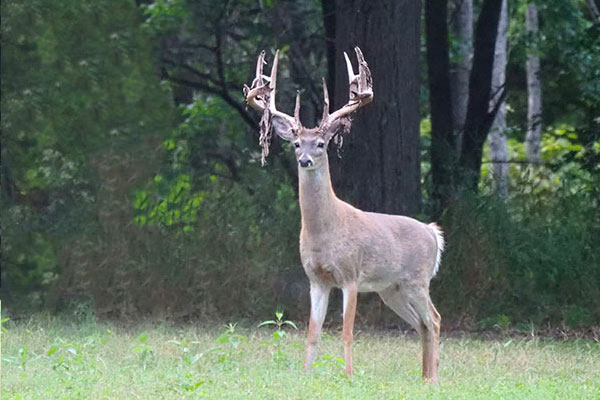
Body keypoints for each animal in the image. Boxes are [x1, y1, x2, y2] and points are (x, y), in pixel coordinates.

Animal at [244, 46, 446, 382]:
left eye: (321, 143)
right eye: (296, 143)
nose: (305, 160)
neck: (325, 230)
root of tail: (433, 232)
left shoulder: (350, 275)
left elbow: (347, 331)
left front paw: (349, 375)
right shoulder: (316, 279)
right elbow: (312, 332)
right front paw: (306, 373)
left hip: (418, 279)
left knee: (435, 318)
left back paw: (432, 378)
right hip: (391, 289)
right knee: (422, 323)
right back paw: (424, 376)